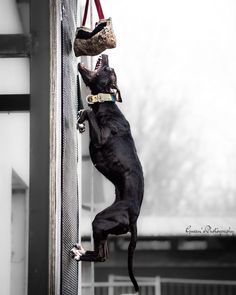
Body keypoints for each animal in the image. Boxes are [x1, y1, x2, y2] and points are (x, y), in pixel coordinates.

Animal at [71, 55, 143, 294]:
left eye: (109, 70)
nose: (106, 56)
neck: (106, 104)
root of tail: (133, 218)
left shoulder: (102, 137)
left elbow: (88, 112)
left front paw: (83, 115)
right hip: (104, 227)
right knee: (103, 253)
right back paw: (81, 252)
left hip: (100, 221)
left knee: (102, 256)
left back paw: (80, 254)